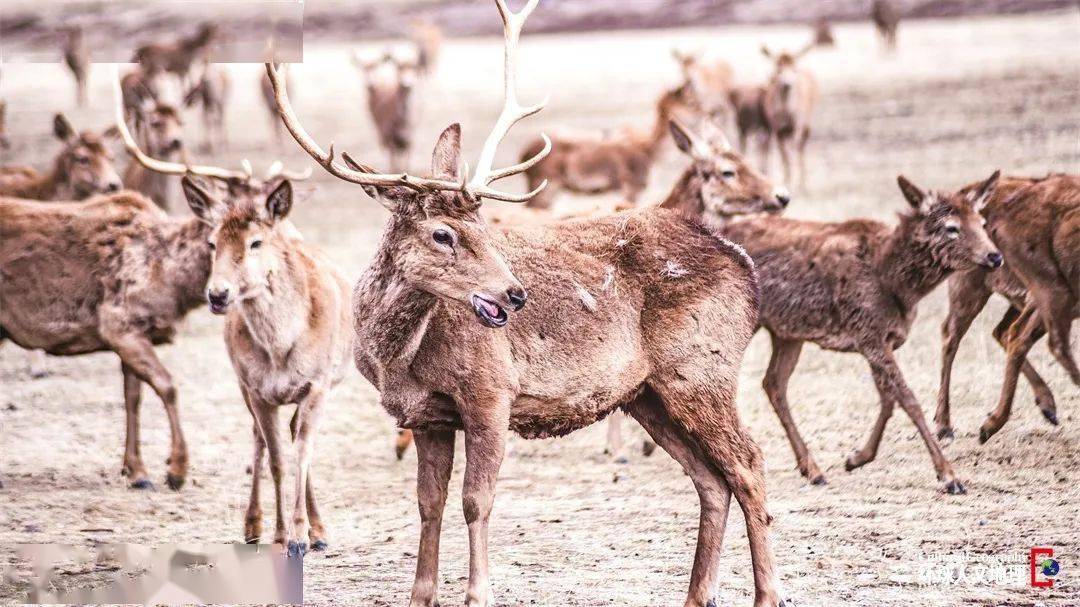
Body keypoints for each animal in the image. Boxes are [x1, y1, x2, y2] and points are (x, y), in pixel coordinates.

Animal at [265, 0, 790, 600]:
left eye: (484, 226)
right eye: (442, 233)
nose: (514, 293)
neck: (397, 359)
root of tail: (744, 266)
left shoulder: (491, 392)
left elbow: (476, 502)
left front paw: (478, 593)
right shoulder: (426, 416)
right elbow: (428, 505)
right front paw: (422, 594)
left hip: (701, 369)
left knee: (748, 464)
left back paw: (769, 593)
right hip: (647, 394)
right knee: (710, 481)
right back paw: (697, 594)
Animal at [717, 170, 1002, 492]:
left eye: (981, 222)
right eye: (951, 227)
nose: (994, 256)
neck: (897, 286)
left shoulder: (880, 339)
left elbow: (888, 400)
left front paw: (857, 458)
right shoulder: (868, 334)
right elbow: (908, 399)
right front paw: (949, 476)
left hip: (787, 332)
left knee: (773, 383)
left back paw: (812, 469)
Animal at [760, 44, 816, 191]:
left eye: (793, 68)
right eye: (778, 68)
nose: (787, 83)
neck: (786, 112)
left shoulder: (798, 125)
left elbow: (792, 152)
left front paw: (795, 184)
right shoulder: (777, 129)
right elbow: (784, 156)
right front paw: (786, 182)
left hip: (807, 124)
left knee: (801, 148)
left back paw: (804, 183)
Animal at [933, 172, 1075, 442]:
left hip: (1016, 299)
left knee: (1002, 331)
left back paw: (1046, 407)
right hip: (969, 288)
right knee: (950, 335)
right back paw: (944, 426)